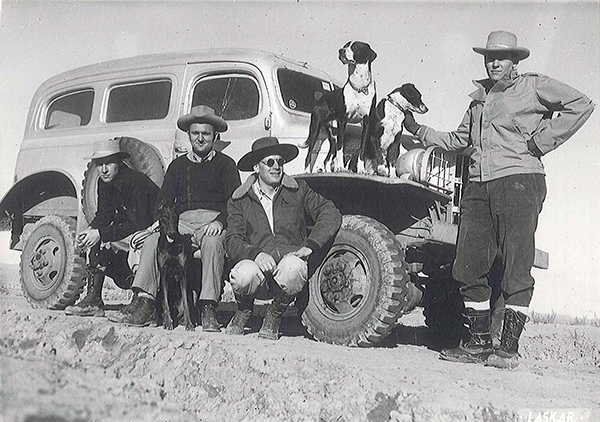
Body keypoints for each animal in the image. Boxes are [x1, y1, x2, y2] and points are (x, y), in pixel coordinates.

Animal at [302, 39, 378, 171]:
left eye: (355, 47)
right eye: (345, 45)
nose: (341, 51)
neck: (359, 88)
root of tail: (322, 97)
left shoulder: (367, 123)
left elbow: (362, 149)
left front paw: (361, 170)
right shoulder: (343, 121)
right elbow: (341, 148)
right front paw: (340, 167)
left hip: (333, 135)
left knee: (327, 158)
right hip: (316, 128)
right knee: (309, 154)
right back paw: (307, 171)